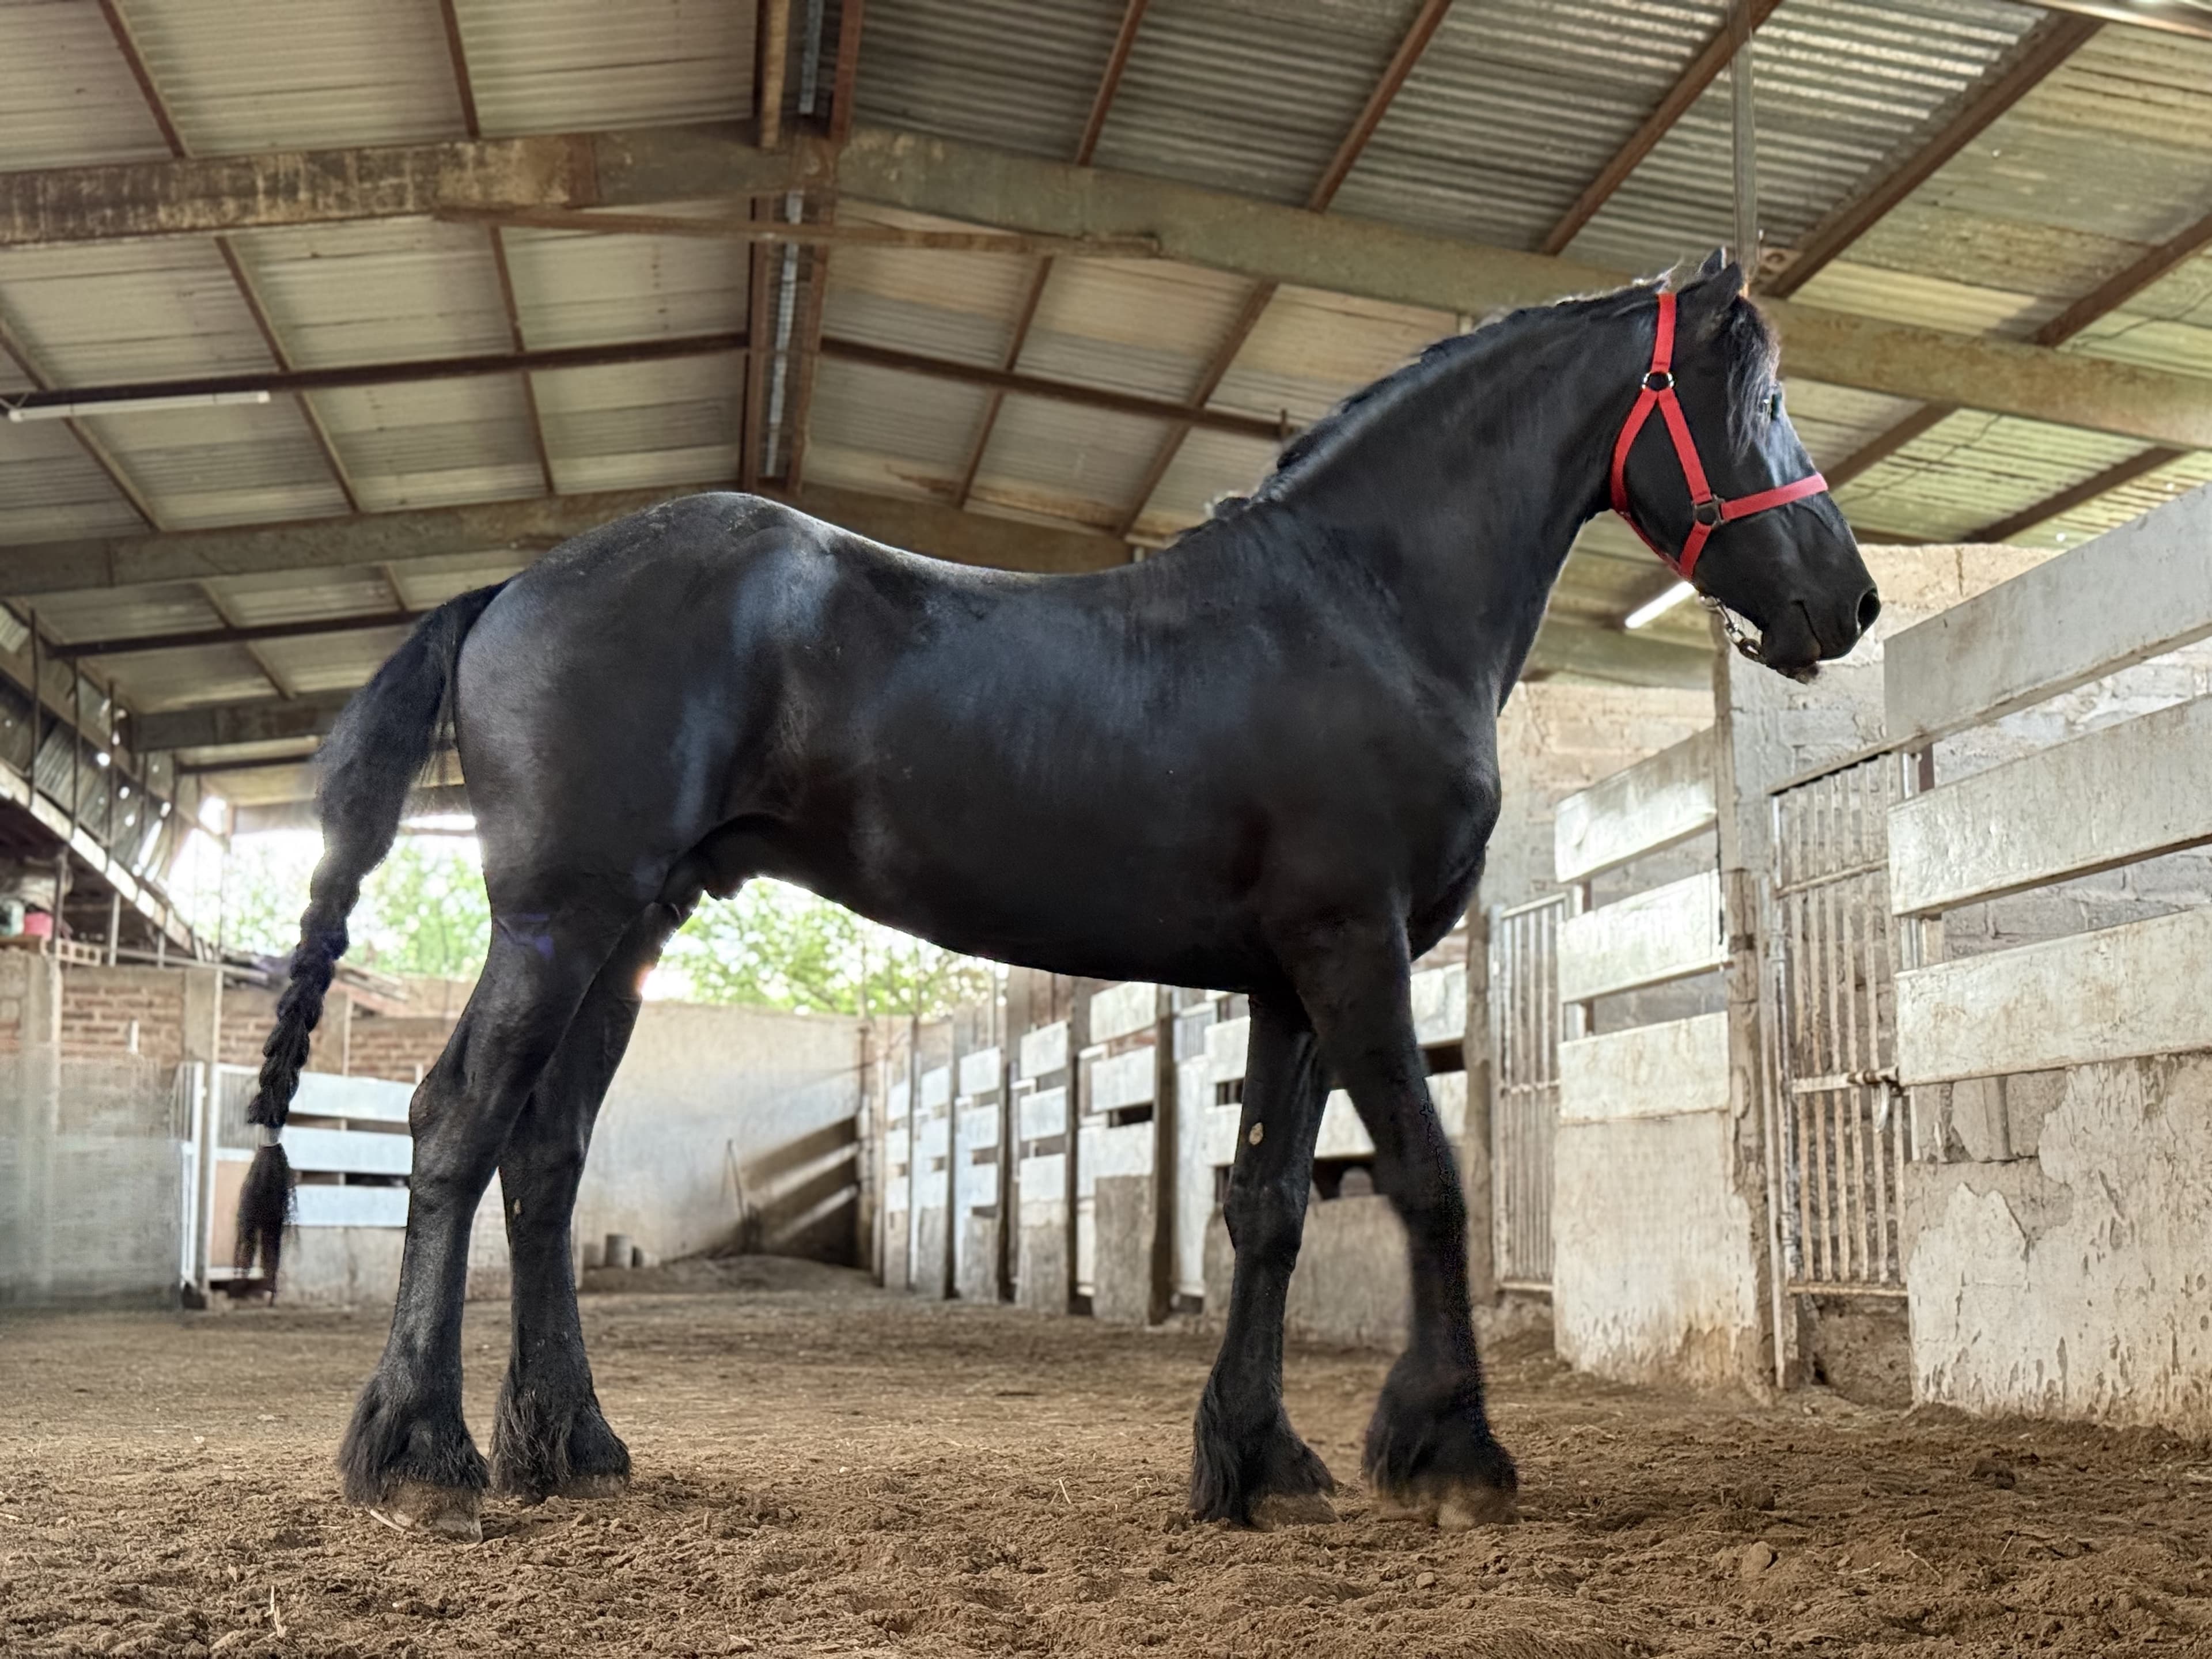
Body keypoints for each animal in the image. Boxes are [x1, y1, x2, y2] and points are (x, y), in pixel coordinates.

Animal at [237, 250, 1877, 1542]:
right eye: (1748, 395)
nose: (1848, 603)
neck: (1363, 605)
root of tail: (507, 591)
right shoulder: (1356, 953)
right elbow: (1427, 1174)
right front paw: (1450, 1451)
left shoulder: (1289, 980)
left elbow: (1269, 1206)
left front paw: (1257, 1463)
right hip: (561, 919)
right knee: (456, 1124)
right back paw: (421, 1458)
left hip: (627, 937)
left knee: (547, 1157)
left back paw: (567, 1448)